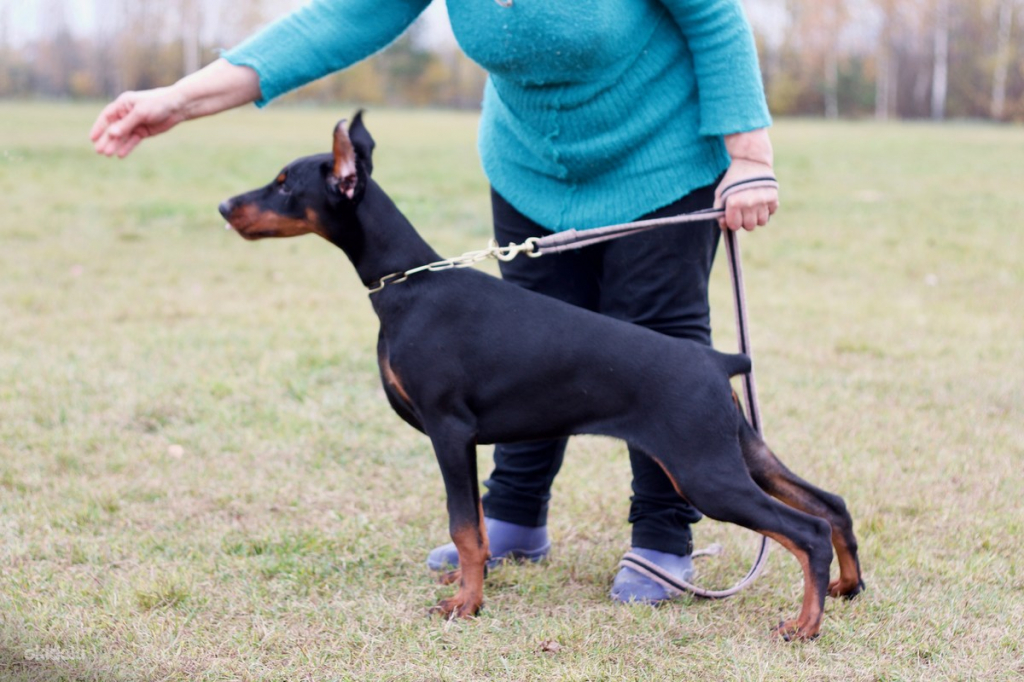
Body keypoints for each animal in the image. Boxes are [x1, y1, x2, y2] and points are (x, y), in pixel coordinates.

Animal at [218, 112, 864, 638]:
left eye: (284, 183)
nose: (225, 207)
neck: (407, 284)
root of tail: (717, 360)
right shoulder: (464, 441)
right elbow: (478, 525)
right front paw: (471, 590)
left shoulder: (449, 431)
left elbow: (465, 527)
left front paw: (465, 606)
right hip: (738, 449)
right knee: (830, 504)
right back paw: (847, 587)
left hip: (702, 470)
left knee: (805, 530)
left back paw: (804, 625)